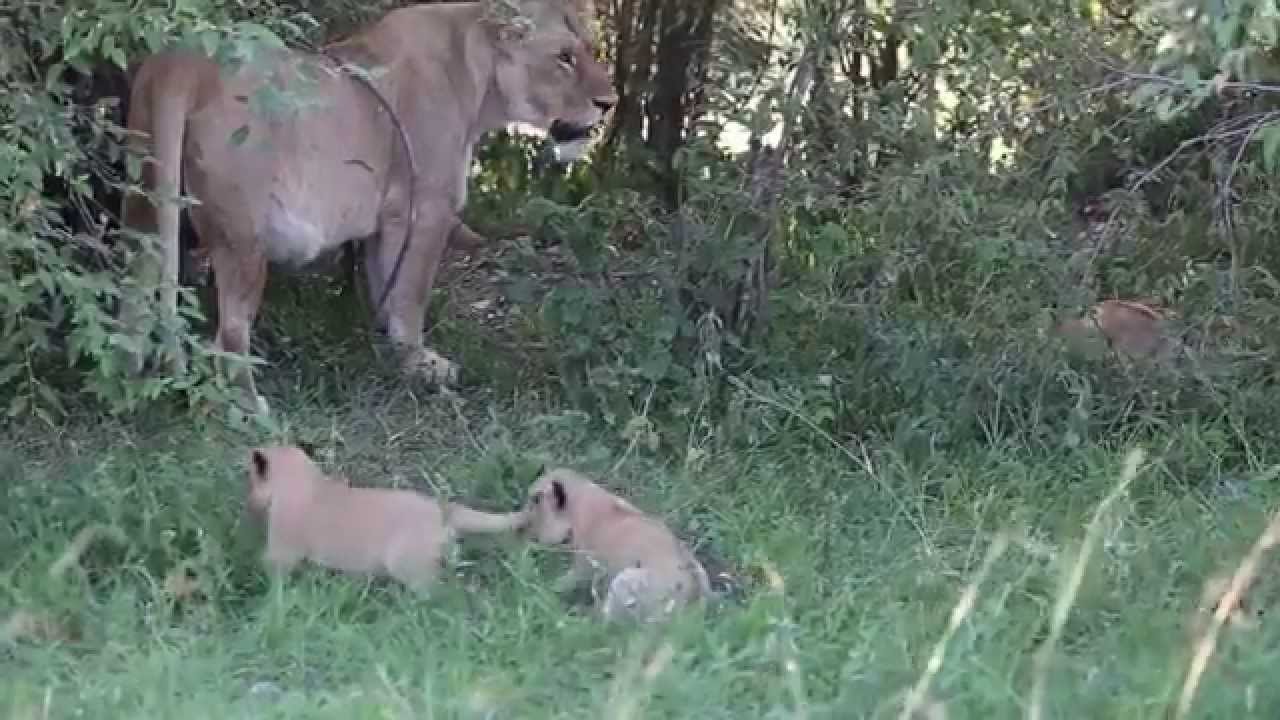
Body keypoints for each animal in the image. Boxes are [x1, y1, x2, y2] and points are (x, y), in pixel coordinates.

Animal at [116, 0, 617, 414]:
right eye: (564, 57)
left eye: (591, 50)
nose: (609, 104)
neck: (479, 72)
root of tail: (181, 62)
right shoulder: (426, 207)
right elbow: (412, 294)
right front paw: (420, 364)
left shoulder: (388, 217)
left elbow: (384, 285)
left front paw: (391, 350)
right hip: (245, 237)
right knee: (231, 333)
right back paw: (250, 409)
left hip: (143, 206)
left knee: (135, 296)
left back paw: (130, 380)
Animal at [245, 445, 528, 594]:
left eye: (251, 478)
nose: (249, 502)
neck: (304, 481)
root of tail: (442, 509)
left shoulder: (280, 553)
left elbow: (268, 573)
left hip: (408, 566)